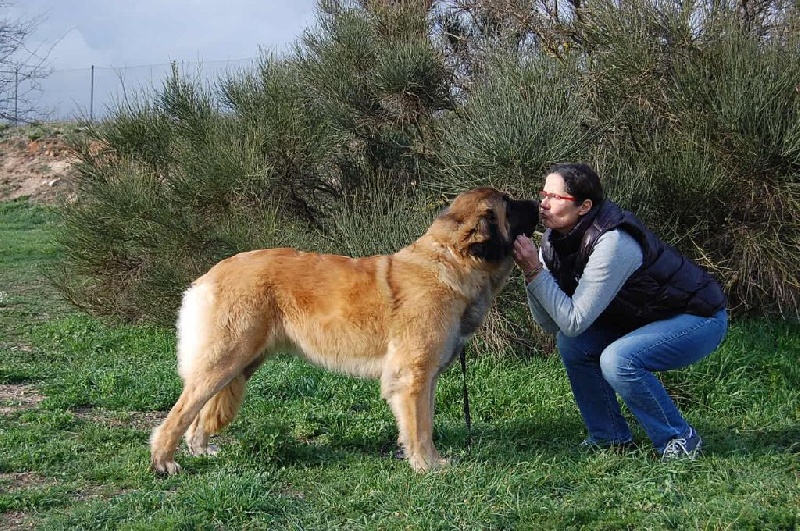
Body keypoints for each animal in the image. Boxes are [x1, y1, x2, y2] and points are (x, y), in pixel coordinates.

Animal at [150, 187, 536, 474]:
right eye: (510, 204)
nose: (537, 200)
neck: (453, 261)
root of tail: (209, 275)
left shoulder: (426, 377)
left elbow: (425, 423)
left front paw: (430, 461)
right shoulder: (414, 374)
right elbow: (420, 426)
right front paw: (426, 466)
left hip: (240, 364)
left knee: (199, 415)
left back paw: (201, 450)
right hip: (225, 358)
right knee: (181, 411)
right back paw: (164, 462)